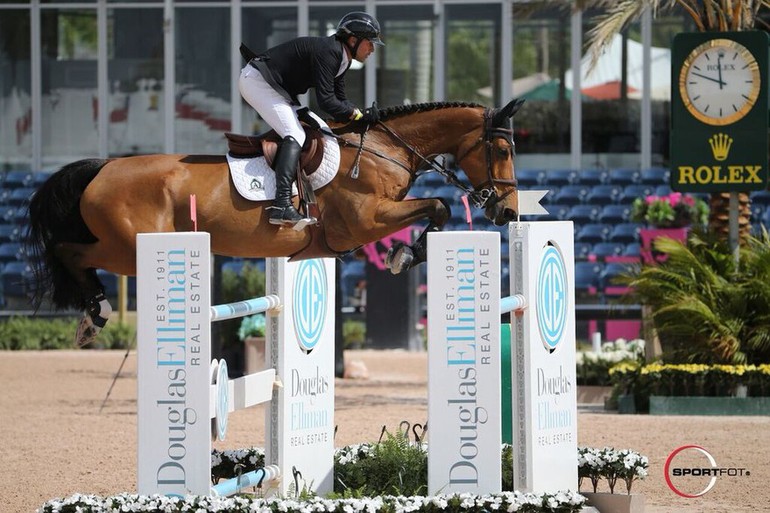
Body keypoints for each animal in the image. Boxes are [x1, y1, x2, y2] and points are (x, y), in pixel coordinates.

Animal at [27, 98, 524, 344]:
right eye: (502, 149)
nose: (508, 212)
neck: (385, 149)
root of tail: (103, 167)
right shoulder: (364, 222)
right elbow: (438, 206)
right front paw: (403, 255)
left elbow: (435, 208)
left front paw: (406, 253)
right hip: (127, 248)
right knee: (69, 251)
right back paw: (95, 312)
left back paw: (92, 316)